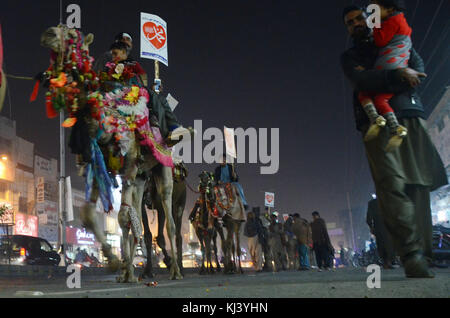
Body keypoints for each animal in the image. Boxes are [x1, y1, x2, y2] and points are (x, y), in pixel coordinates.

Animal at [38, 26, 183, 282]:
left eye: (72, 35)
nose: (48, 33)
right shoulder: (102, 167)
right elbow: (89, 214)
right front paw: (117, 264)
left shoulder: (129, 164)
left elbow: (124, 218)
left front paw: (121, 265)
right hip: (142, 178)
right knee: (138, 217)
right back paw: (133, 270)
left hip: (163, 169)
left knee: (170, 222)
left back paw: (175, 270)